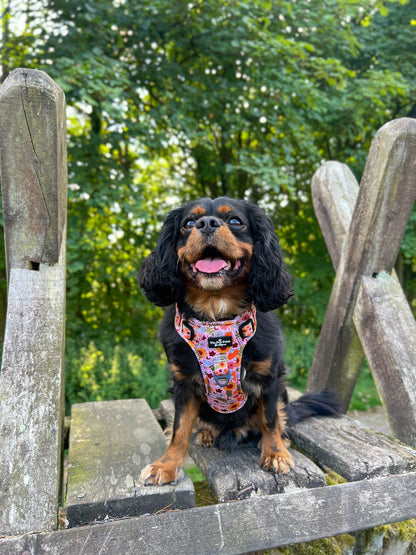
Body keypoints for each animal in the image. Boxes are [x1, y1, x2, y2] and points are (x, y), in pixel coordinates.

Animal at [137, 198, 338, 484]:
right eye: (189, 223)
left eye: (235, 221)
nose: (206, 223)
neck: (217, 314)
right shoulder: (183, 384)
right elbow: (179, 427)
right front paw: (166, 464)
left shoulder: (269, 379)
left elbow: (270, 419)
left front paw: (275, 453)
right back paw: (207, 433)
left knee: (277, 419)